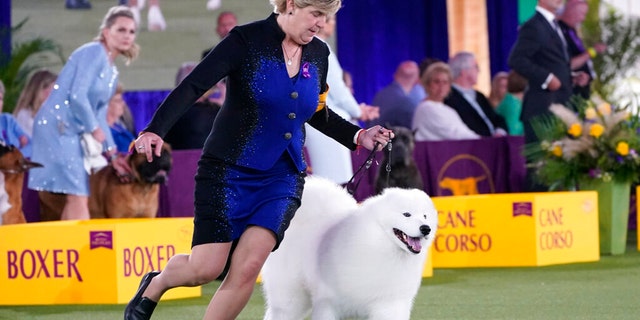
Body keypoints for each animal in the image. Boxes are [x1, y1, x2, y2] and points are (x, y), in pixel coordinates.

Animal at [262, 176, 438, 318]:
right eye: (406, 214)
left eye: (425, 216)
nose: (426, 228)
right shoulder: (328, 302)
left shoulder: (389, 303)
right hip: (291, 294)